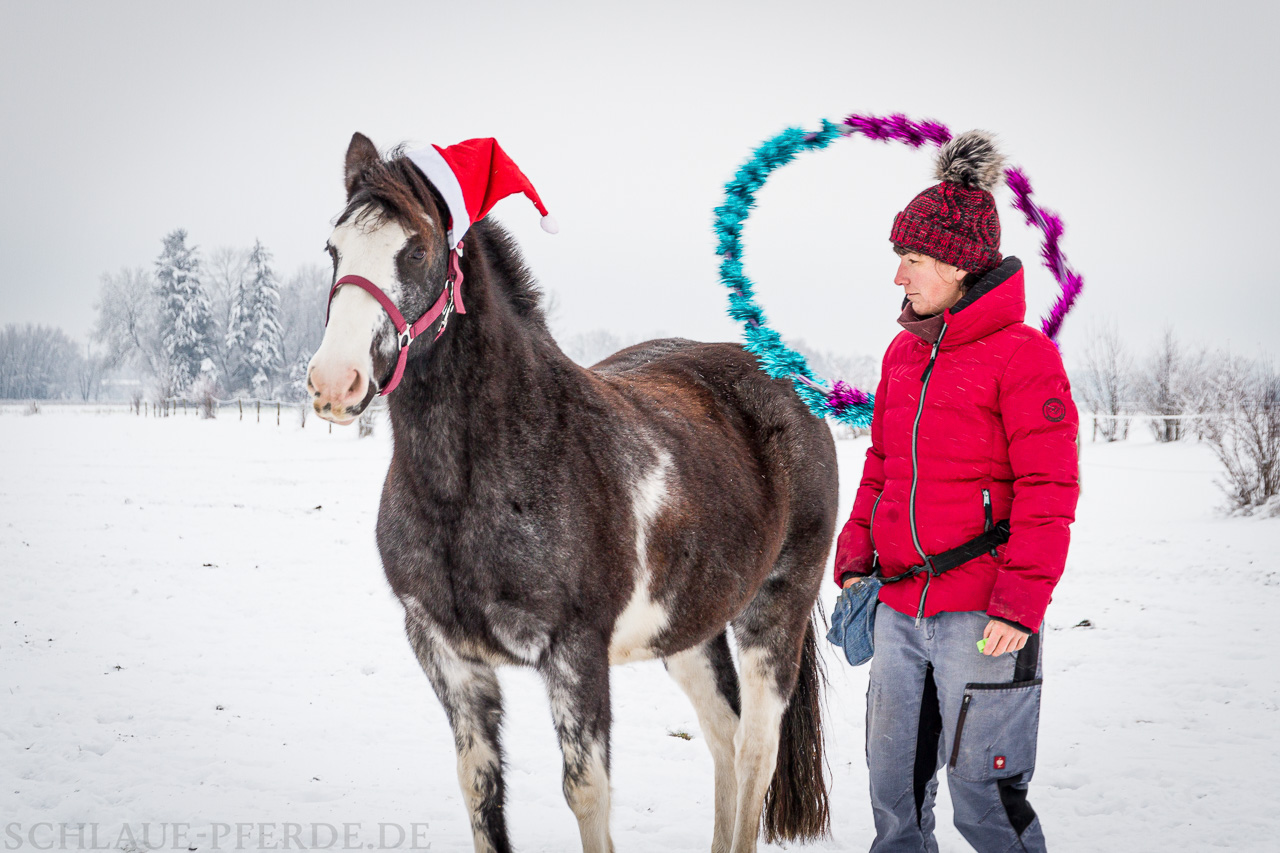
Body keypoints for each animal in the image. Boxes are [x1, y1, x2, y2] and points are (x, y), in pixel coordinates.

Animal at [306, 132, 839, 853]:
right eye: (333, 248)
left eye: (415, 248)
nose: (334, 381)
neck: (467, 486)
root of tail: (788, 379)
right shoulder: (447, 656)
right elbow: (481, 791)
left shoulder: (576, 652)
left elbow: (587, 793)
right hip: (690, 630)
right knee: (724, 738)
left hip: (775, 610)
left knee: (757, 748)